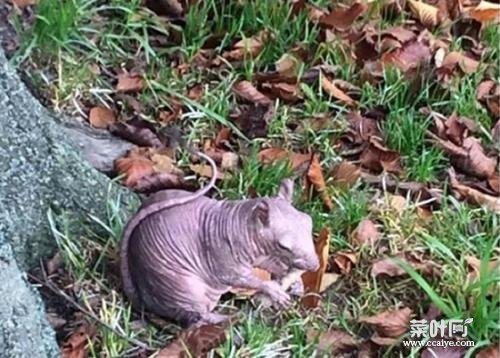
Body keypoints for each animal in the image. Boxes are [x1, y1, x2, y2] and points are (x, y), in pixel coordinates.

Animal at [119, 151, 318, 328]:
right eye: (283, 246)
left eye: (309, 221)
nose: (315, 266)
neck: (242, 221)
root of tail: (141, 301)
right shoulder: (223, 254)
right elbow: (238, 278)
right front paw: (274, 290)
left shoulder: (261, 253)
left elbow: (271, 264)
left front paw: (295, 282)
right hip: (181, 289)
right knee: (197, 317)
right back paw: (228, 318)